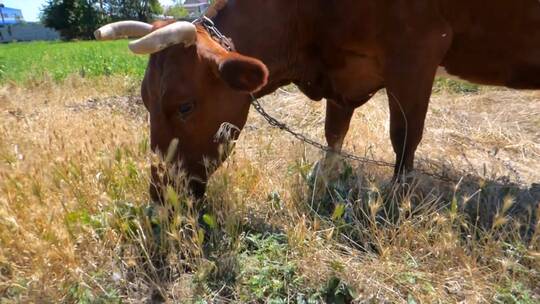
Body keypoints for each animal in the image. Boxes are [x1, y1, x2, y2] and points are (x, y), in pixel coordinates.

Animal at [94, 0, 540, 200]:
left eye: (185, 106)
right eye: (145, 102)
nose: (161, 193)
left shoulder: (419, 50)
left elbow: (404, 137)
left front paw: (397, 198)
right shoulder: (344, 73)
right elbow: (334, 133)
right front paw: (322, 179)